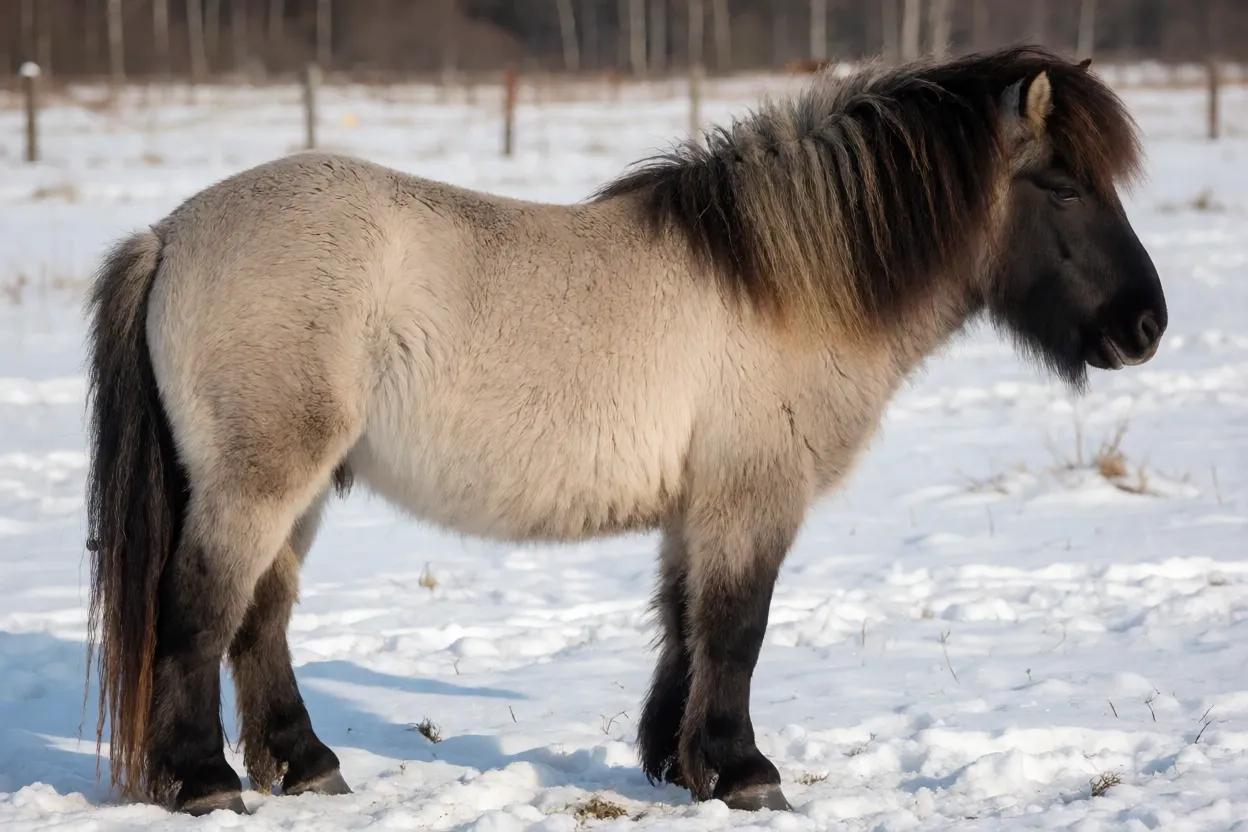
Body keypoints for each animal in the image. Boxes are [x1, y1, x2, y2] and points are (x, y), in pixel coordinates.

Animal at [83, 45, 1166, 816]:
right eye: (1063, 186)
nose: (1146, 326)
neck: (783, 285)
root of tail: (170, 233)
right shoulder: (752, 496)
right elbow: (737, 628)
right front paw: (745, 771)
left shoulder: (700, 505)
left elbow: (685, 623)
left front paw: (679, 764)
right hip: (259, 478)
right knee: (199, 610)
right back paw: (206, 781)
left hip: (296, 485)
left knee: (259, 618)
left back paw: (306, 765)